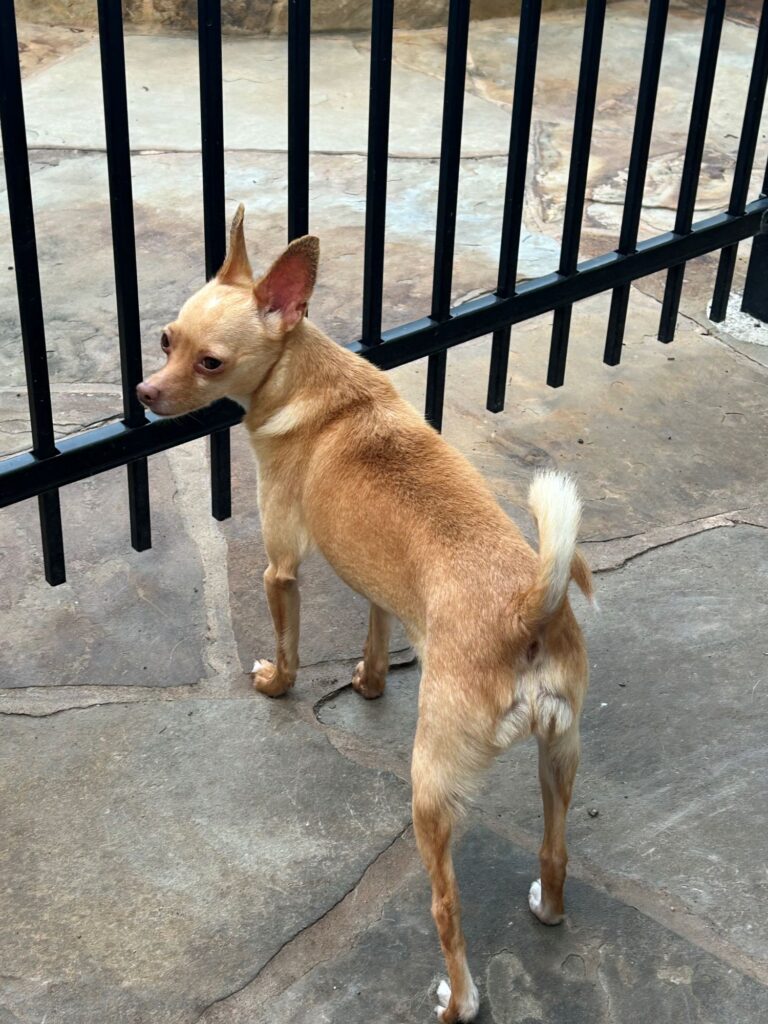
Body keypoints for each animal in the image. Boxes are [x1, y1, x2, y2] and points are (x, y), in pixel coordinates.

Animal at [137, 205, 593, 1023]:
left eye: (210, 363)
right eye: (165, 341)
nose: (144, 391)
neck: (310, 380)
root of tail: (527, 613)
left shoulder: (281, 565)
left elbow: (285, 640)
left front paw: (275, 685)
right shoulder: (381, 590)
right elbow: (377, 632)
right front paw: (371, 681)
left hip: (430, 791)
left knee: (447, 910)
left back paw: (456, 1000)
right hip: (560, 755)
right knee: (556, 848)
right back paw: (547, 907)